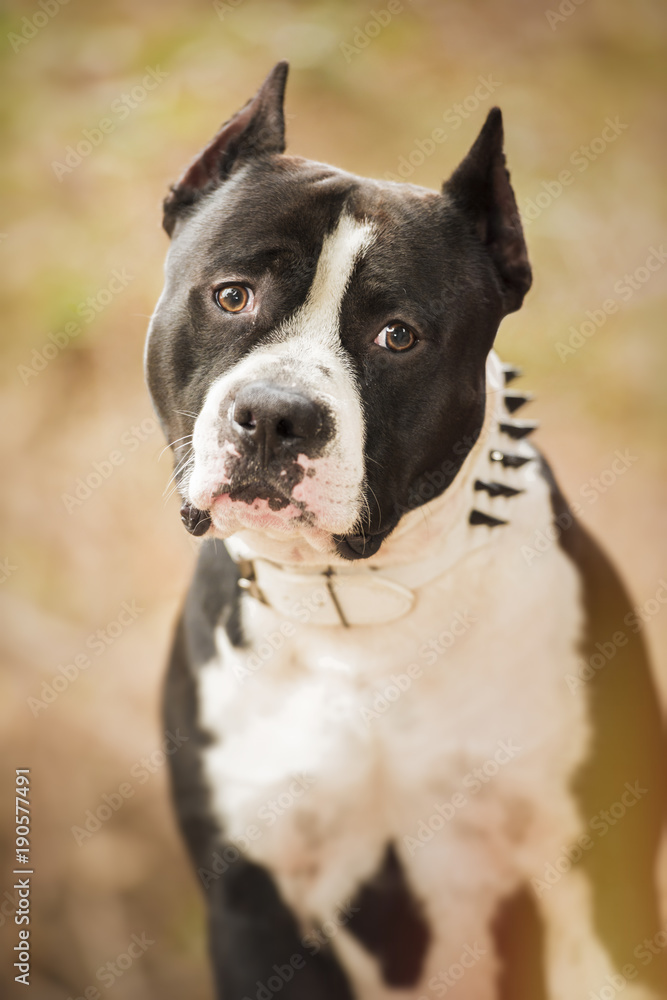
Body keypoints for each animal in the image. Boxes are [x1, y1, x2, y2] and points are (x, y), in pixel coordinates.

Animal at [144, 60, 664, 1000]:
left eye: (398, 337)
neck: (361, 610)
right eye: (232, 295)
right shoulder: (254, 906)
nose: (274, 416)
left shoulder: (595, 883)